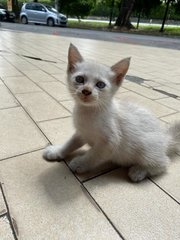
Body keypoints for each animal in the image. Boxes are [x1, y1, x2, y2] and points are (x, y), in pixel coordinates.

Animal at [43, 43, 180, 182]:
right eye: (80, 79)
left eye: (100, 85)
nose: (86, 91)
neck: (88, 112)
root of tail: (166, 138)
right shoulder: (82, 132)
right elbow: (71, 143)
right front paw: (57, 151)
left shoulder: (109, 142)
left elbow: (93, 155)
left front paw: (79, 163)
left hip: (146, 148)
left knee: (163, 163)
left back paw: (139, 171)